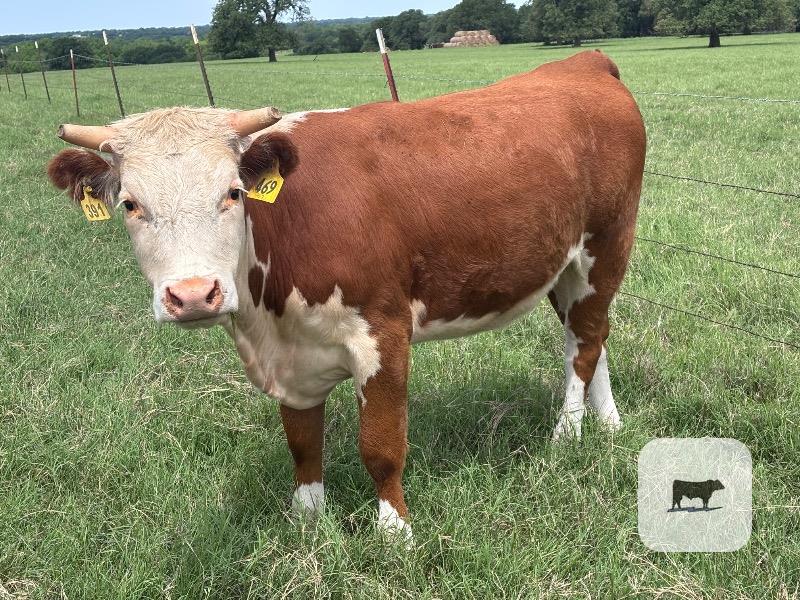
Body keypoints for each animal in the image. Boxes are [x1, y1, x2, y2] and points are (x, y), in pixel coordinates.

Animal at [46, 50, 646, 541]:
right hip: (563, 265)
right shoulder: (290, 355)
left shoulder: (383, 331)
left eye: (234, 193)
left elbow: (380, 445)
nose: (194, 295)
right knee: (589, 336)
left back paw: (567, 434)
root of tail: (582, 64)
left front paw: (394, 531)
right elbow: (302, 441)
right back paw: (607, 420)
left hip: (605, 247)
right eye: (129, 204)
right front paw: (307, 517)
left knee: (584, 342)